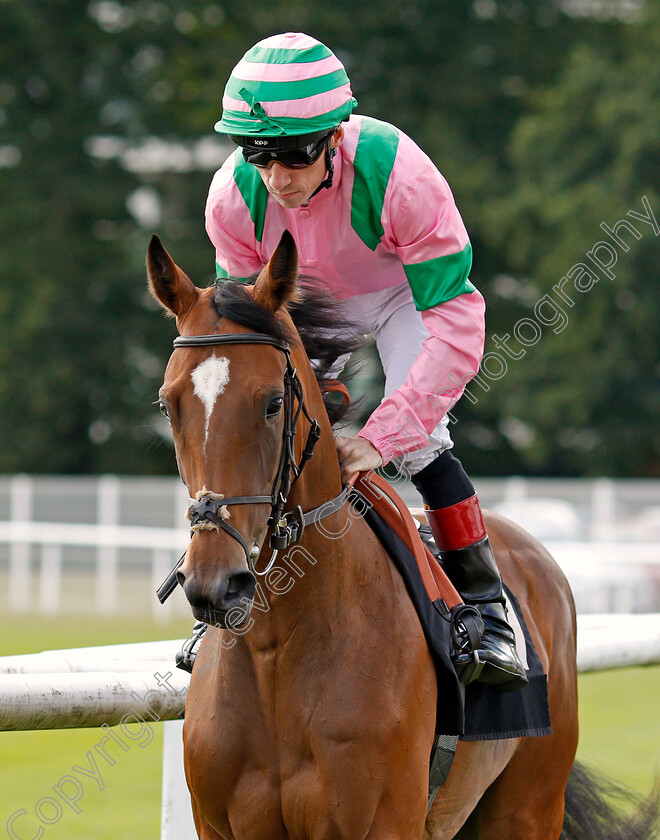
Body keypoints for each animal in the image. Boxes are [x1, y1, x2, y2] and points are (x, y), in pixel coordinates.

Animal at [147, 231, 656, 840]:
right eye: (168, 404)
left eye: (272, 402)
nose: (215, 584)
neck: (277, 650)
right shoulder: (220, 825)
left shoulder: (385, 823)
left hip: (528, 807)